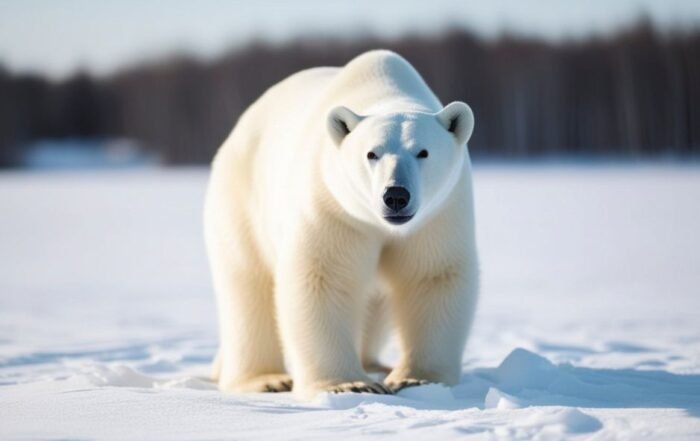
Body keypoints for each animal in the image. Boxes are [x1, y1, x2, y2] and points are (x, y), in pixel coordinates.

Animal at [204, 50, 479, 399]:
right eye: (372, 153)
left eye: (423, 152)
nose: (396, 196)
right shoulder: (333, 209)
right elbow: (324, 277)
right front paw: (348, 384)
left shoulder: (438, 216)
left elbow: (431, 276)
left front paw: (416, 378)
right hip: (242, 203)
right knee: (247, 286)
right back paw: (265, 379)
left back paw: (376, 364)